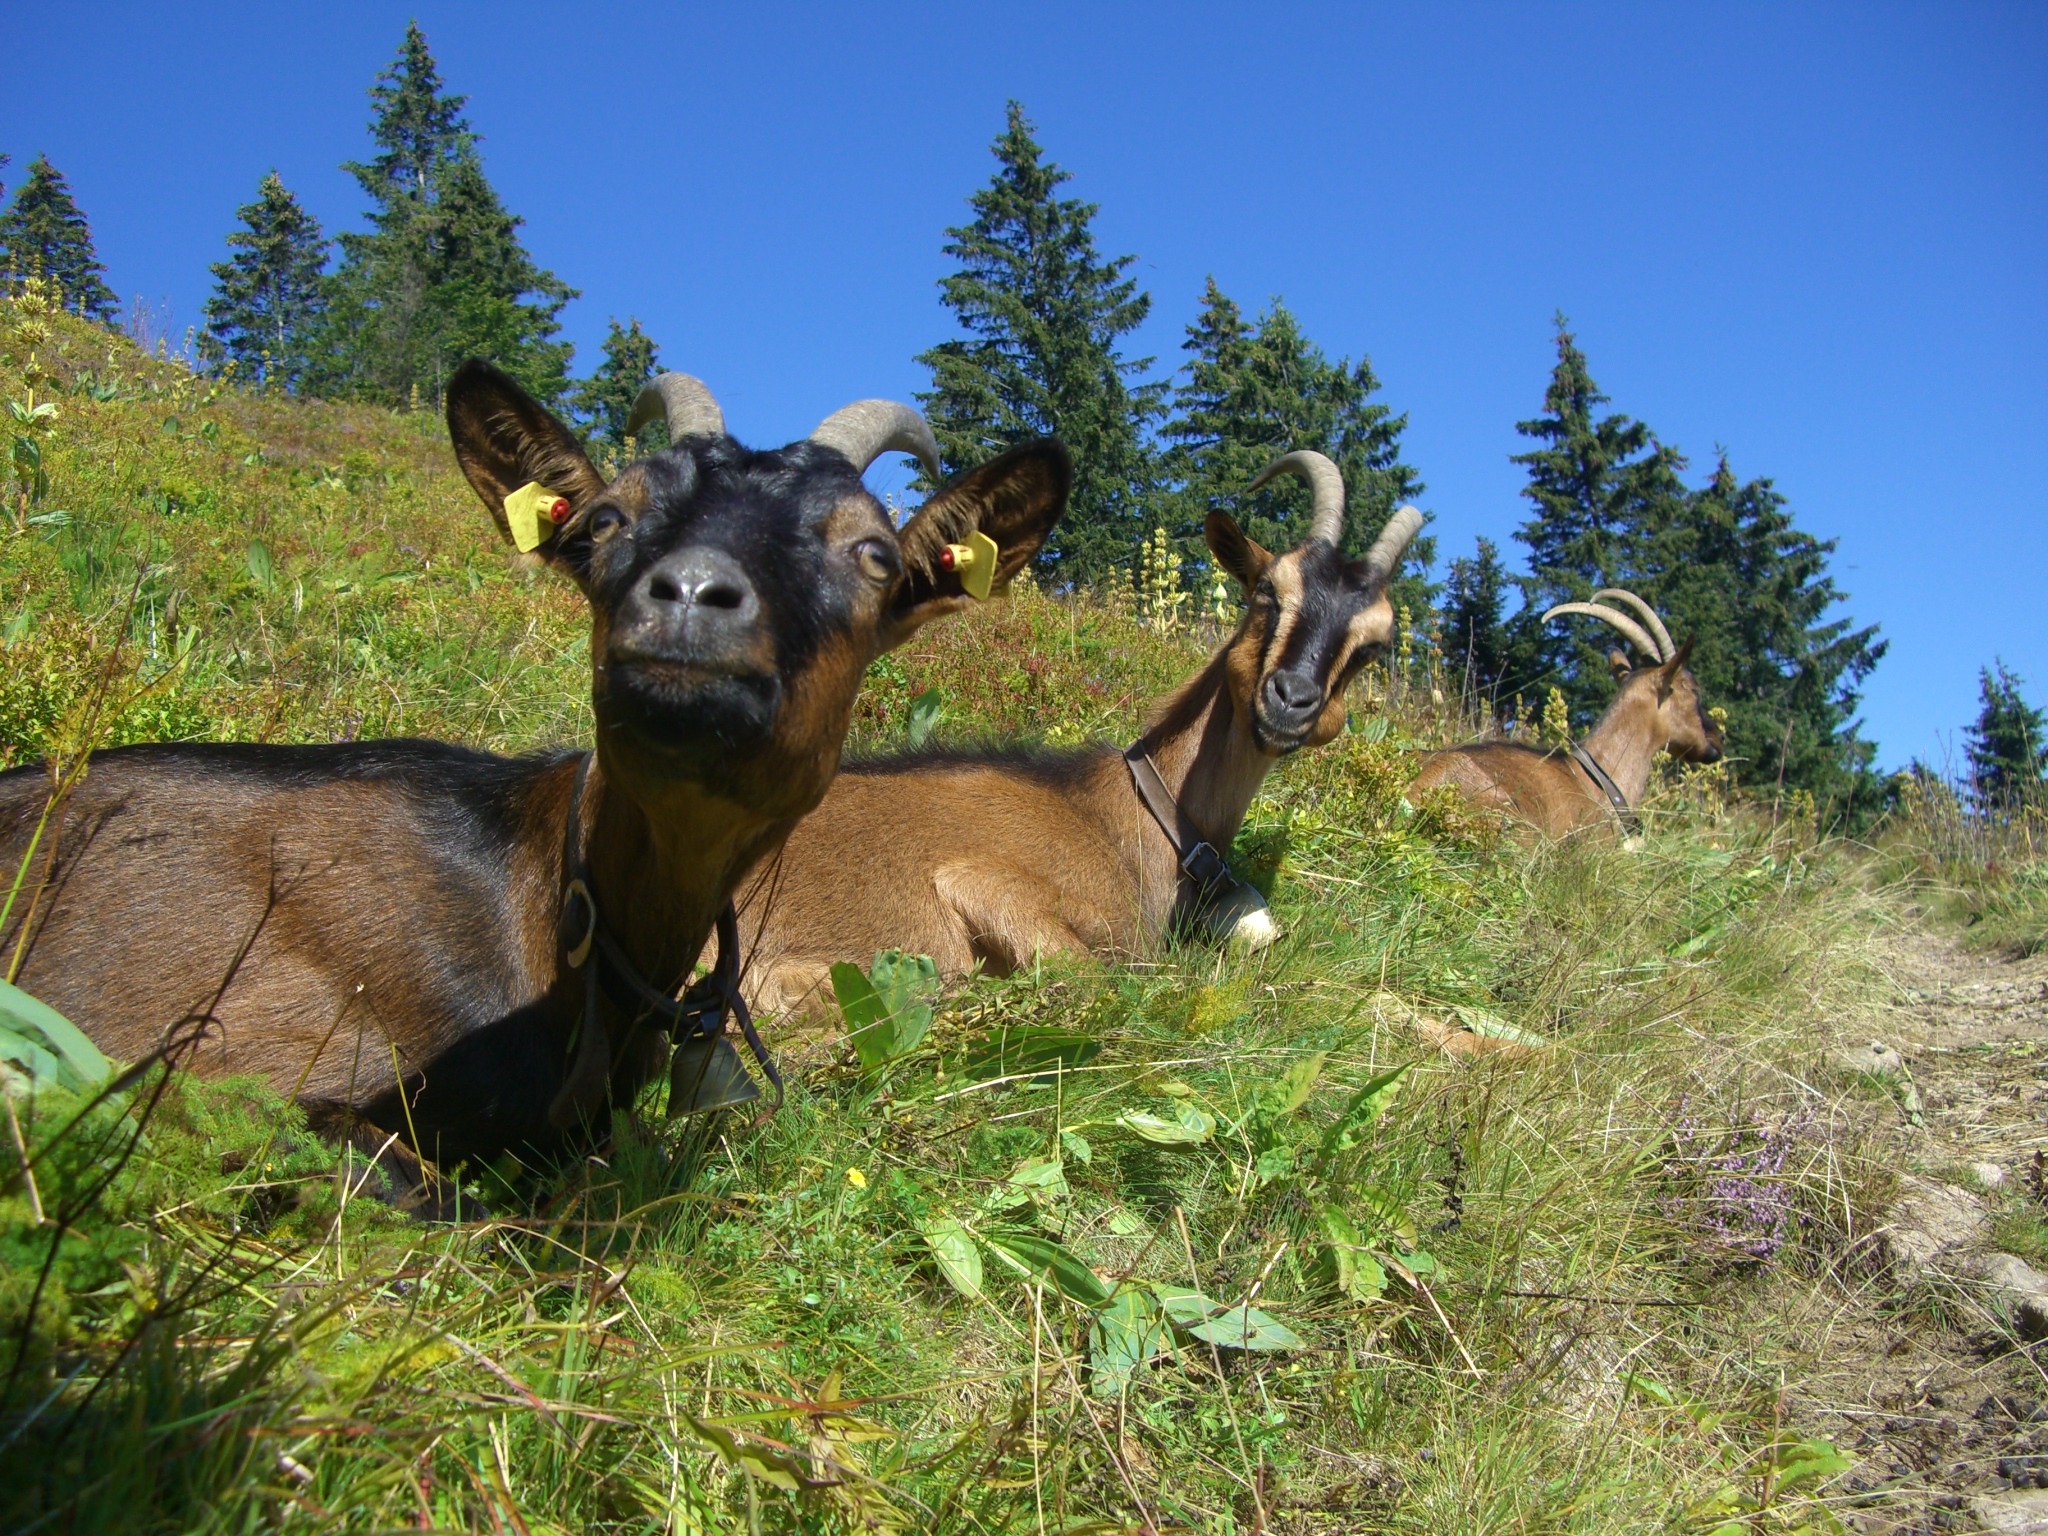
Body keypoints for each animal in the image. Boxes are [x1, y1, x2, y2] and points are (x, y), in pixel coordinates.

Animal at [738, 450, 1423, 1016]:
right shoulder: (983, 884)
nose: (1291, 699)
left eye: (1372, 647)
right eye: (1267, 592)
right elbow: (1105, 979)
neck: (1138, 815)